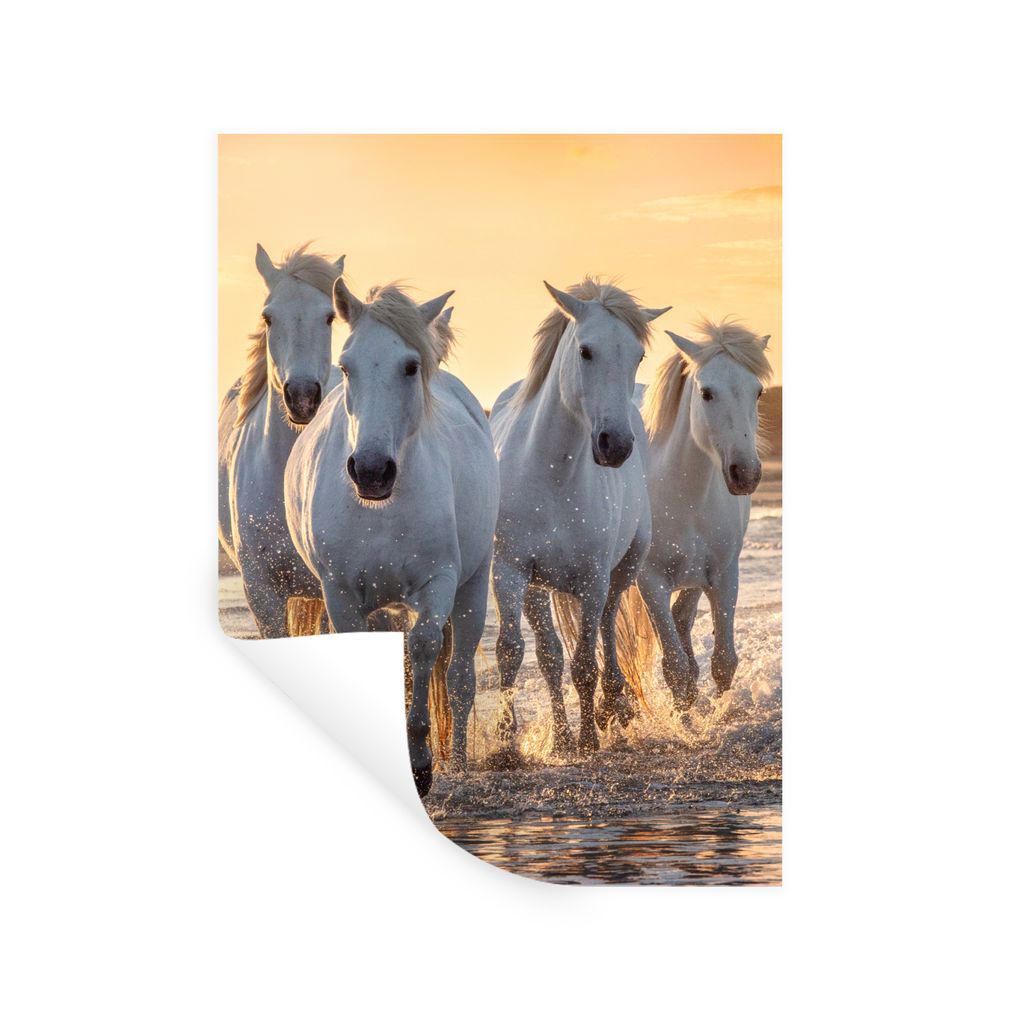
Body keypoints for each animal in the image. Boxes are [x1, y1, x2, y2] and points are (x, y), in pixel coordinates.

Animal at [284, 280, 499, 797]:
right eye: (346, 366)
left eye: (410, 366)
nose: (371, 470)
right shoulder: (340, 592)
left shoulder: (438, 583)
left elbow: (423, 649)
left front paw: (421, 764)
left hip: (473, 586)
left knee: (459, 678)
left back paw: (459, 760)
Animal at [489, 278, 670, 756]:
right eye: (586, 351)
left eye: (637, 355)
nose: (615, 445)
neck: (551, 473)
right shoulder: (510, 571)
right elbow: (513, 651)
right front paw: (506, 745)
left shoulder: (592, 579)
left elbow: (586, 661)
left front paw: (590, 737)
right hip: (538, 588)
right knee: (550, 655)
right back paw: (563, 736)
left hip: (621, 571)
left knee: (606, 628)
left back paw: (612, 707)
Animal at [624, 317, 772, 710]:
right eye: (706, 393)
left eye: (757, 392)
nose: (745, 474)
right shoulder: (651, 581)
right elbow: (675, 669)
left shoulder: (723, 574)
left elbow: (723, 662)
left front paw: (717, 714)